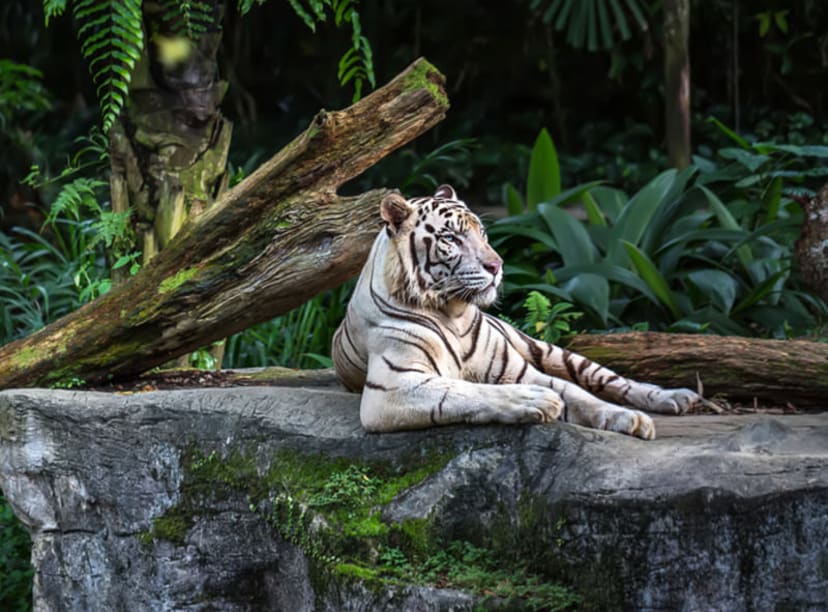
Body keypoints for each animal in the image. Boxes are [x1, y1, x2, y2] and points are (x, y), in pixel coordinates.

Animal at [330, 184, 700, 438]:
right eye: (451, 239)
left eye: (482, 233)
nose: (497, 266)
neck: (454, 313)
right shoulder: (392, 386)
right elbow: (467, 390)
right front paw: (536, 401)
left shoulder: (518, 368)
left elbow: (578, 394)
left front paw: (629, 418)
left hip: (547, 349)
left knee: (609, 379)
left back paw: (675, 397)